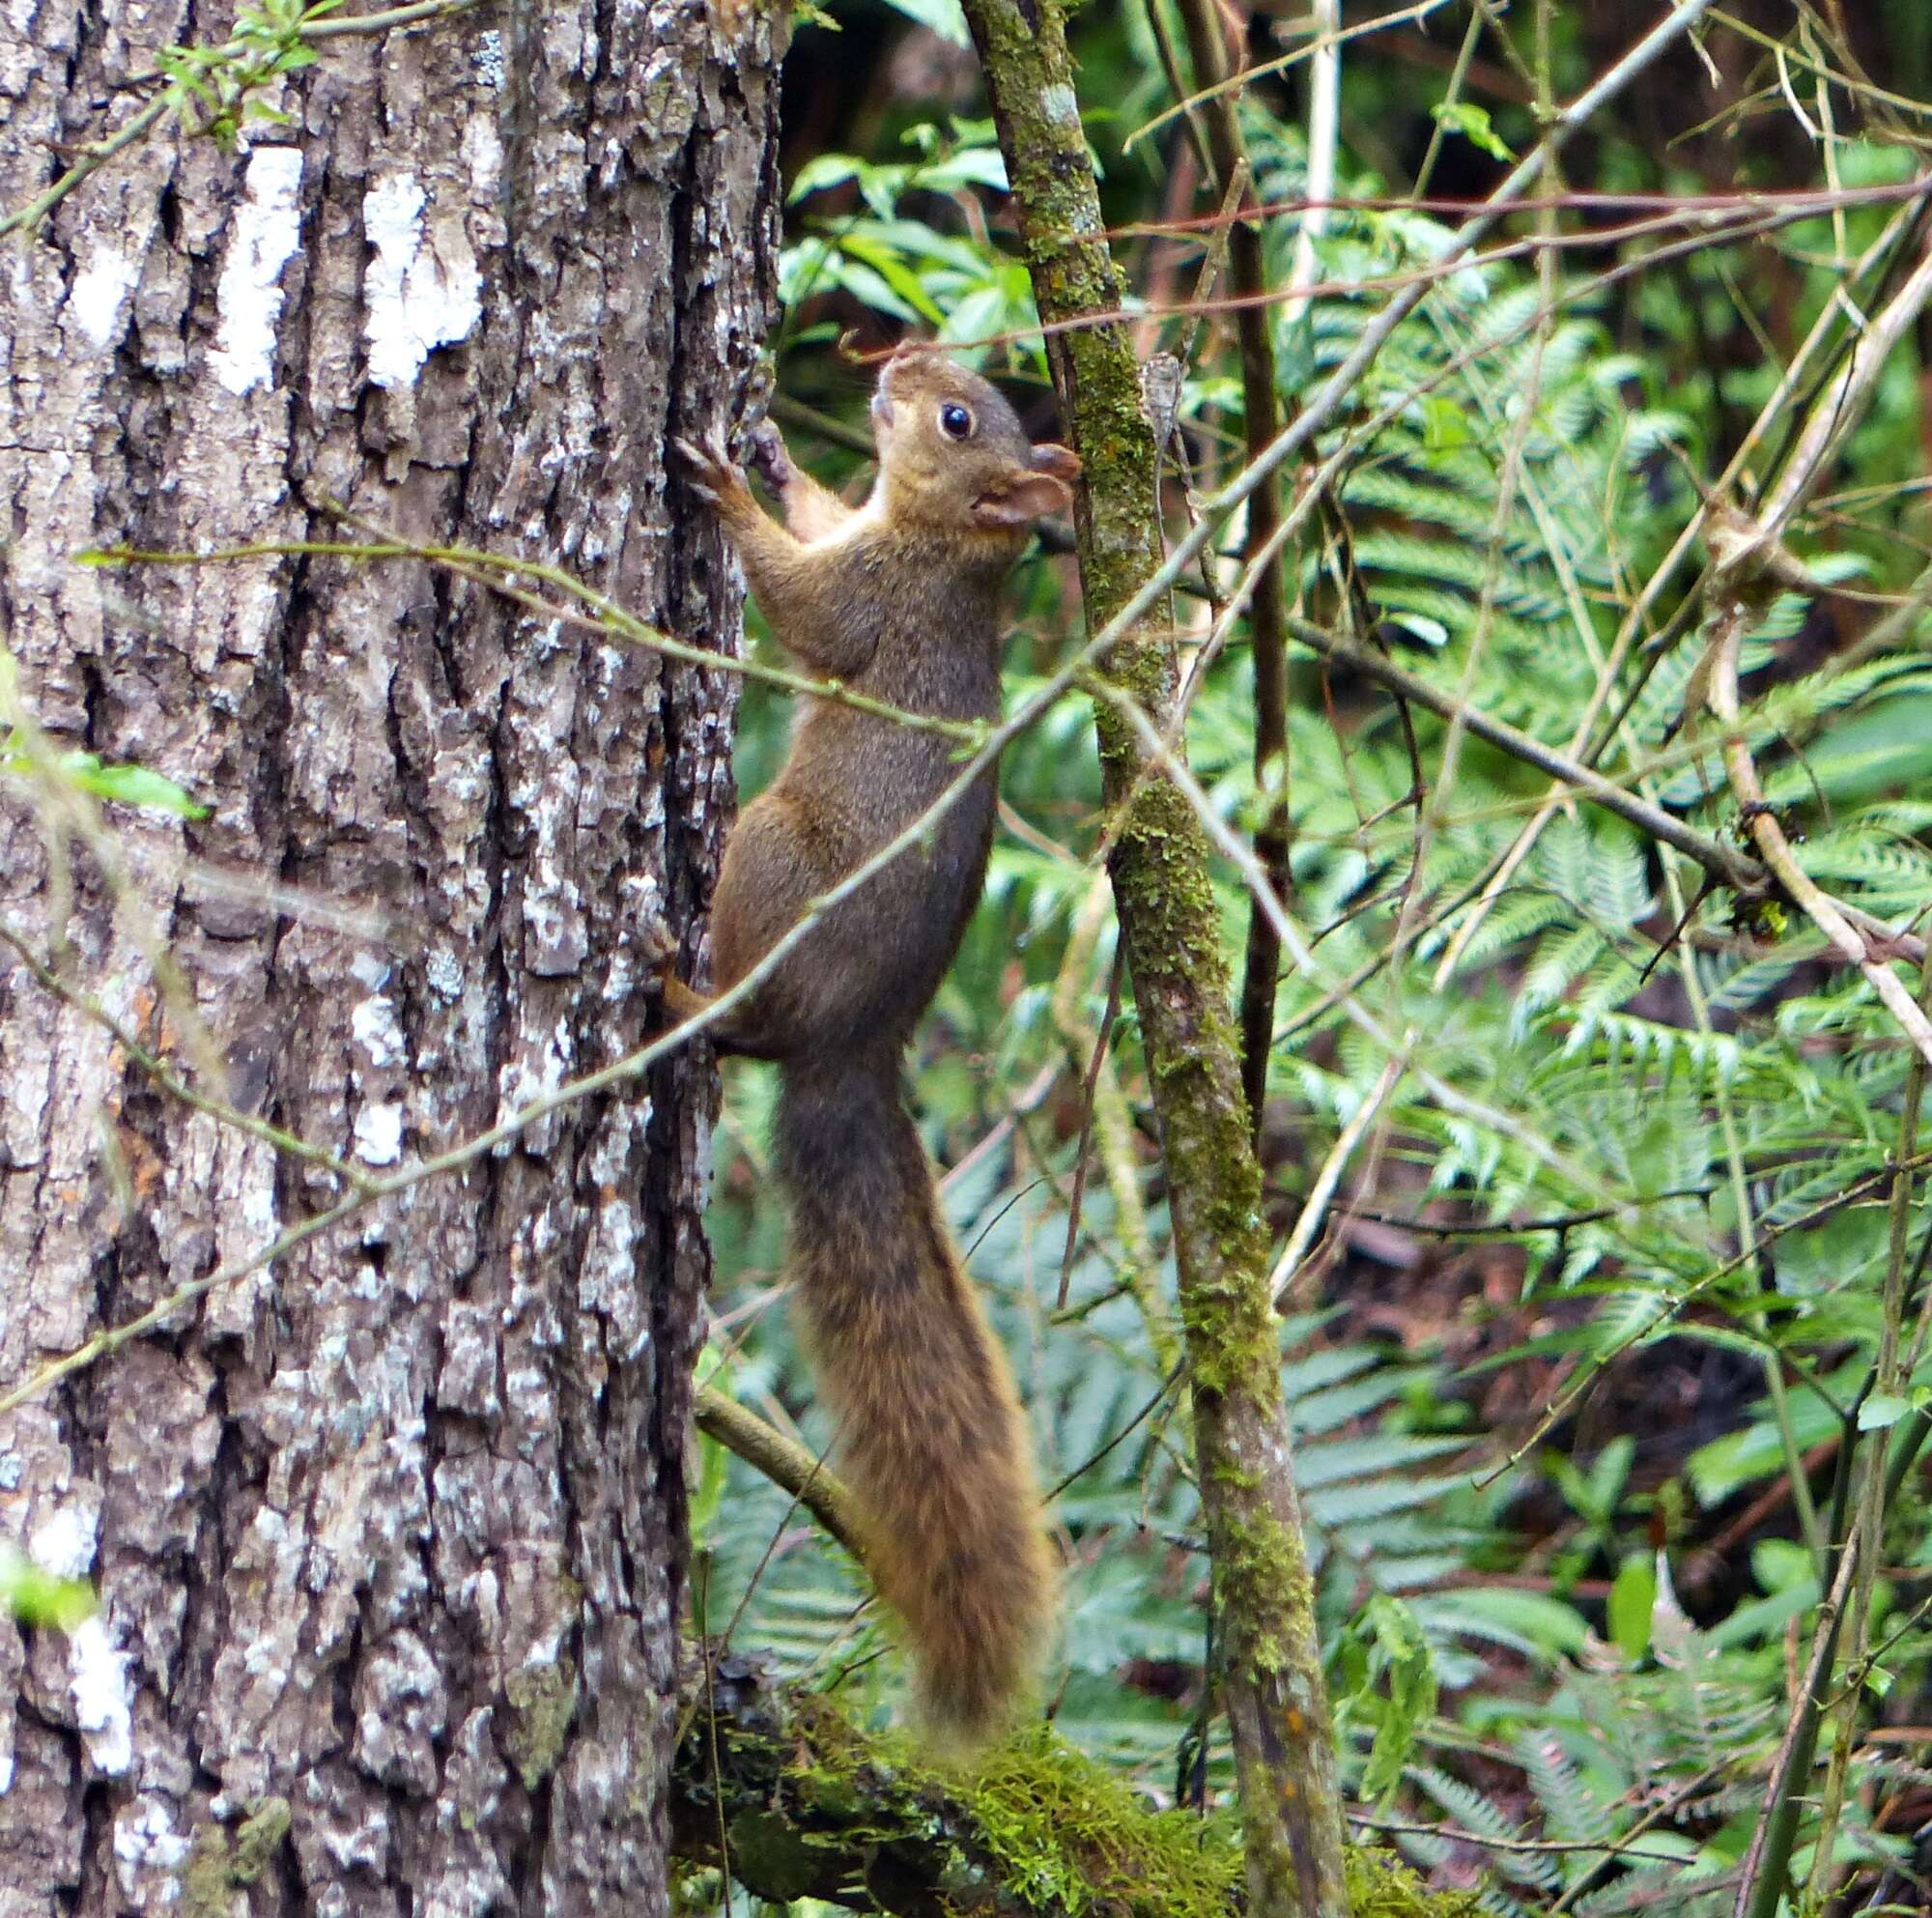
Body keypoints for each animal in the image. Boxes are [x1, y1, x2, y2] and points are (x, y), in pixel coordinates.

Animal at [672, 344, 1082, 1739]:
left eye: (956, 419)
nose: (899, 357)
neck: (935, 539)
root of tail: (855, 1046)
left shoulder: (869, 599)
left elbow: (800, 602)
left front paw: (726, 489)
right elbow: (814, 526)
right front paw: (778, 460)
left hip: (769, 849)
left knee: (739, 1027)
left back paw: (671, 988)